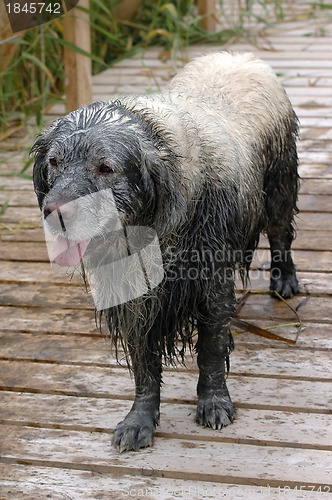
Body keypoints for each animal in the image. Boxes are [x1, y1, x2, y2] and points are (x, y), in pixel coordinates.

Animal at [31, 51, 300, 454]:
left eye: (106, 167)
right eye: (54, 162)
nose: (55, 214)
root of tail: (240, 55)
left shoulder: (211, 285)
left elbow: (210, 349)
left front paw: (214, 402)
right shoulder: (134, 299)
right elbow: (144, 365)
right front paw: (139, 420)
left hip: (280, 183)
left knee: (282, 234)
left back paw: (284, 281)